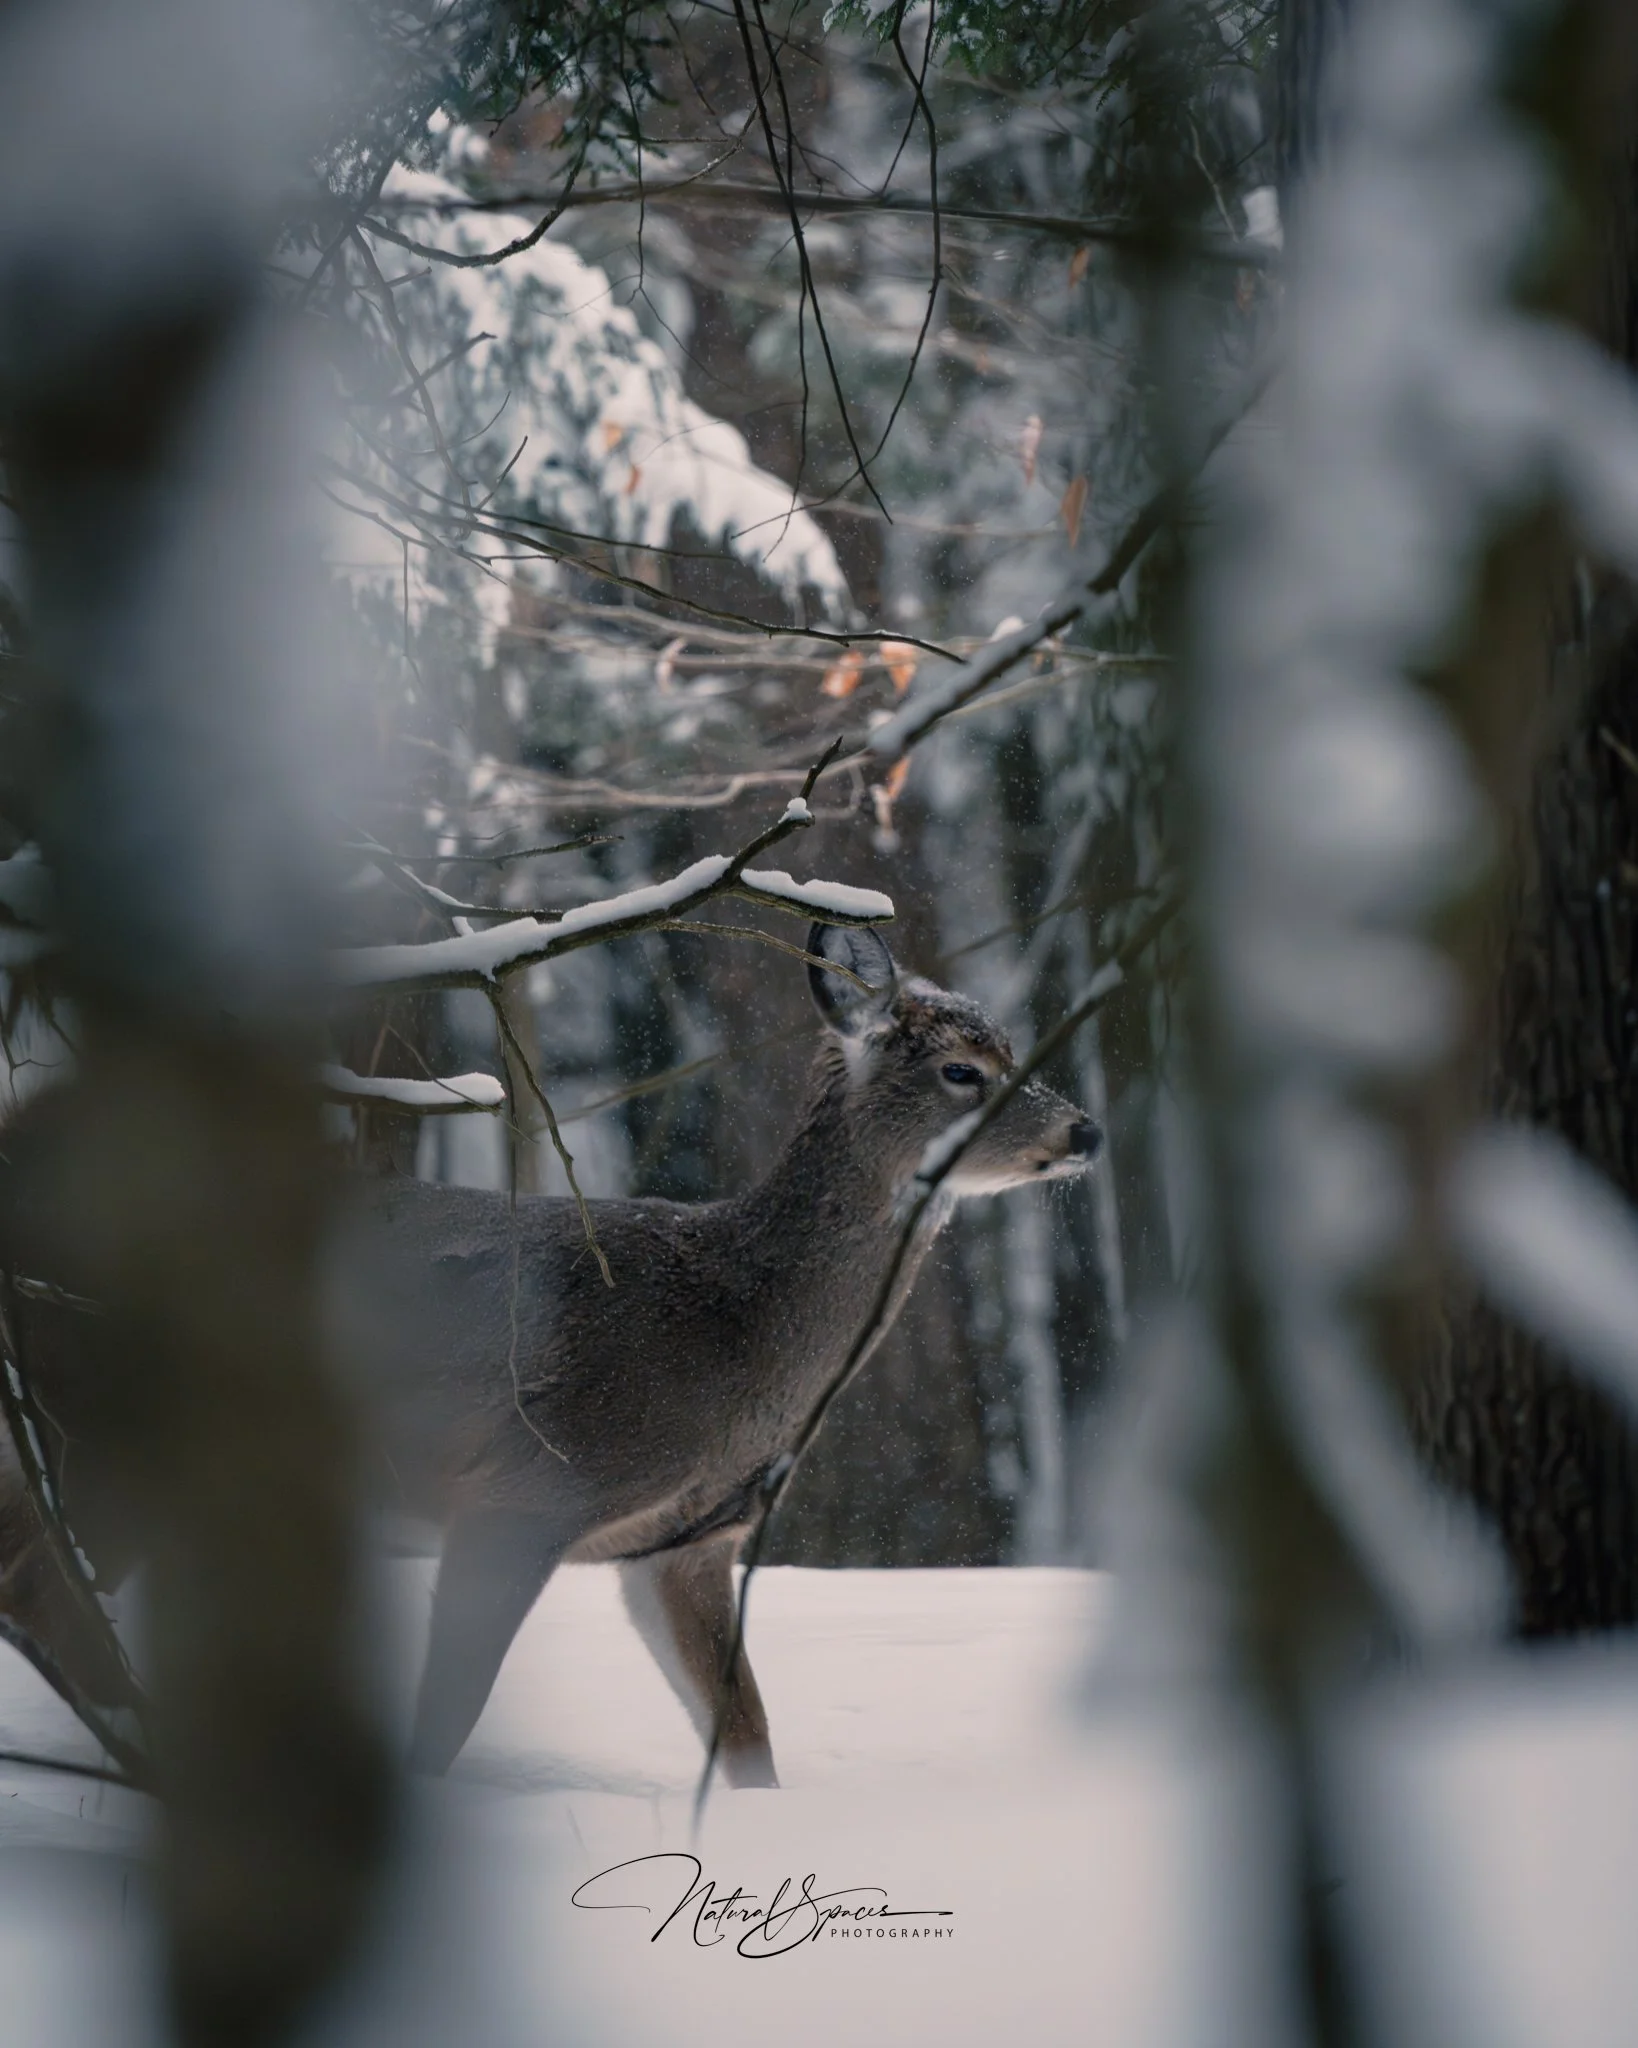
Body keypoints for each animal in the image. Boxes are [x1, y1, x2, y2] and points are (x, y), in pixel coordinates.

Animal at [0, 921, 1100, 1790]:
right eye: (963, 1068)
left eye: (1012, 1044)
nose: (1087, 1128)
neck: (738, 1332)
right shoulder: (530, 1486)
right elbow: (450, 1713)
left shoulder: (680, 1546)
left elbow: (747, 1735)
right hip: (94, 1415)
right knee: (47, 1599)